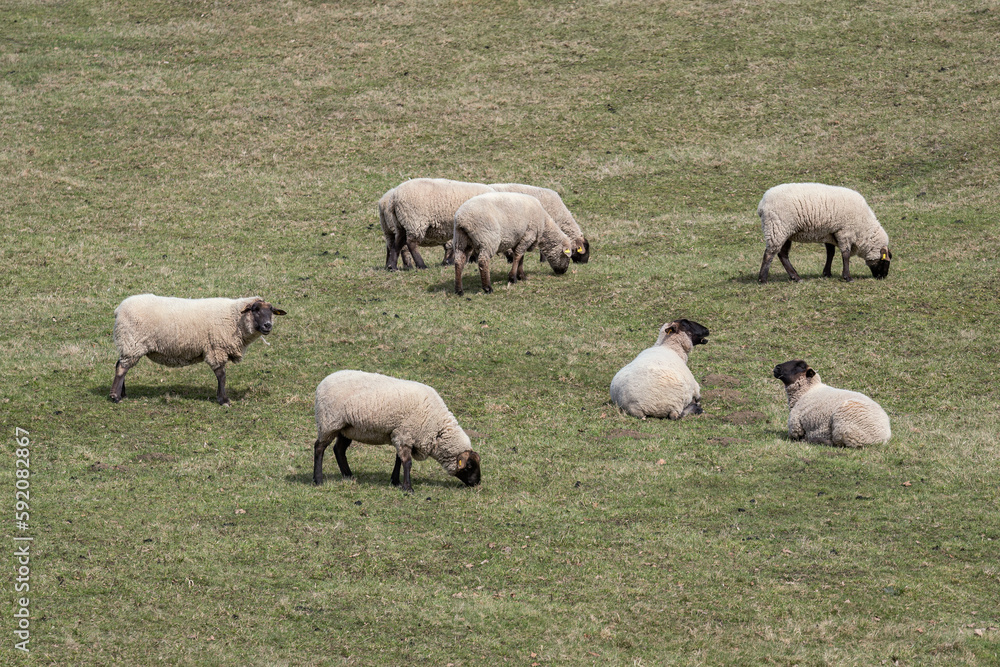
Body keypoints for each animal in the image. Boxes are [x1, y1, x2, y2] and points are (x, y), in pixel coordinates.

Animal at [111, 294, 288, 408]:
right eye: (255, 309)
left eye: (271, 311)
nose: (267, 325)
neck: (234, 318)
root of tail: (119, 309)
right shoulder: (216, 348)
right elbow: (222, 375)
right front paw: (224, 400)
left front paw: (220, 397)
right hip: (132, 342)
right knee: (122, 367)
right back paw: (115, 396)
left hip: (129, 344)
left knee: (121, 365)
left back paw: (122, 393)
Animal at [314, 370, 482, 496]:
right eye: (468, 466)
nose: (477, 483)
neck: (436, 426)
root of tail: (323, 382)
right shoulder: (404, 435)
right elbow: (407, 462)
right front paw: (408, 488)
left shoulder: (401, 435)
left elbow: (398, 460)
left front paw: (396, 482)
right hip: (329, 423)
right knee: (319, 448)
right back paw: (318, 480)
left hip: (346, 428)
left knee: (339, 449)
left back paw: (349, 476)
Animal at [756, 184, 892, 284]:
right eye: (885, 261)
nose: (883, 277)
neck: (863, 228)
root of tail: (761, 205)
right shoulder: (844, 232)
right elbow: (846, 255)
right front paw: (847, 277)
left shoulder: (830, 233)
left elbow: (830, 253)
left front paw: (827, 273)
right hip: (777, 228)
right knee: (769, 254)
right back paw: (763, 279)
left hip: (785, 232)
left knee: (782, 254)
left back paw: (796, 277)